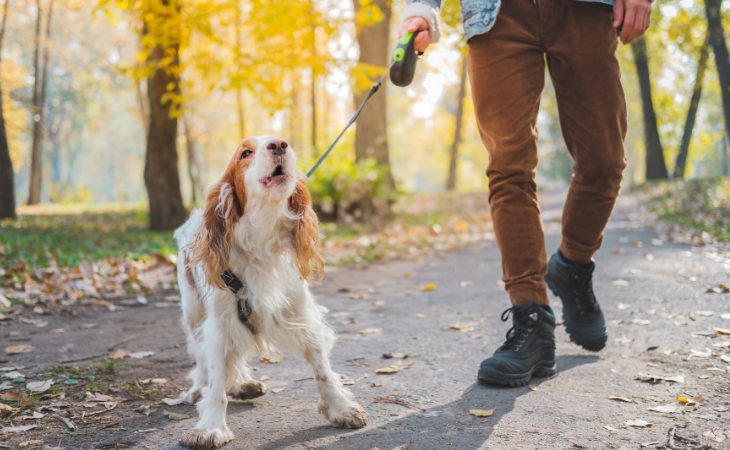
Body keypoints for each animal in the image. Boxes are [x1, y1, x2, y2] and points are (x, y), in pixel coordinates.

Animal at [171, 135, 364, 448]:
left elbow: (322, 368)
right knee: (200, 356)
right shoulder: (219, 323)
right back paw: (200, 388)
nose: (279, 145)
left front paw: (340, 407)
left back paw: (243, 384)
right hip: (193, 312)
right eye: (245, 153)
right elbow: (216, 376)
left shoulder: (301, 313)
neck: (262, 237)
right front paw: (210, 427)